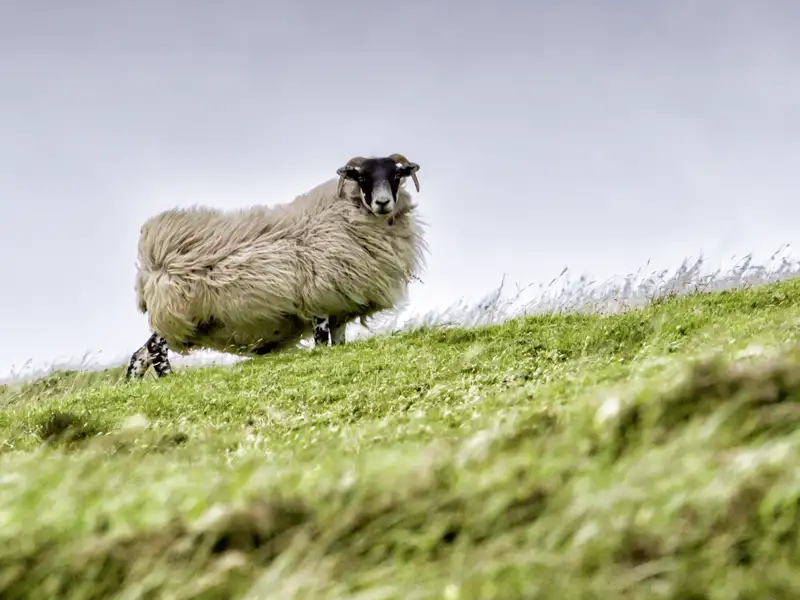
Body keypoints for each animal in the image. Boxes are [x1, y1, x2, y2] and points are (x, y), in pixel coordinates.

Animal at [125, 153, 426, 380]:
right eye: (362, 177)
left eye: (396, 175)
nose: (383, 202)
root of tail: (148, 264)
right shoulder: (317, 300)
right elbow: (321, 344)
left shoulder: (339, 306)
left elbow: (337, 344)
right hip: (174, 311)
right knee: (153, 351)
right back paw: (167, 379)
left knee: (140, 355)